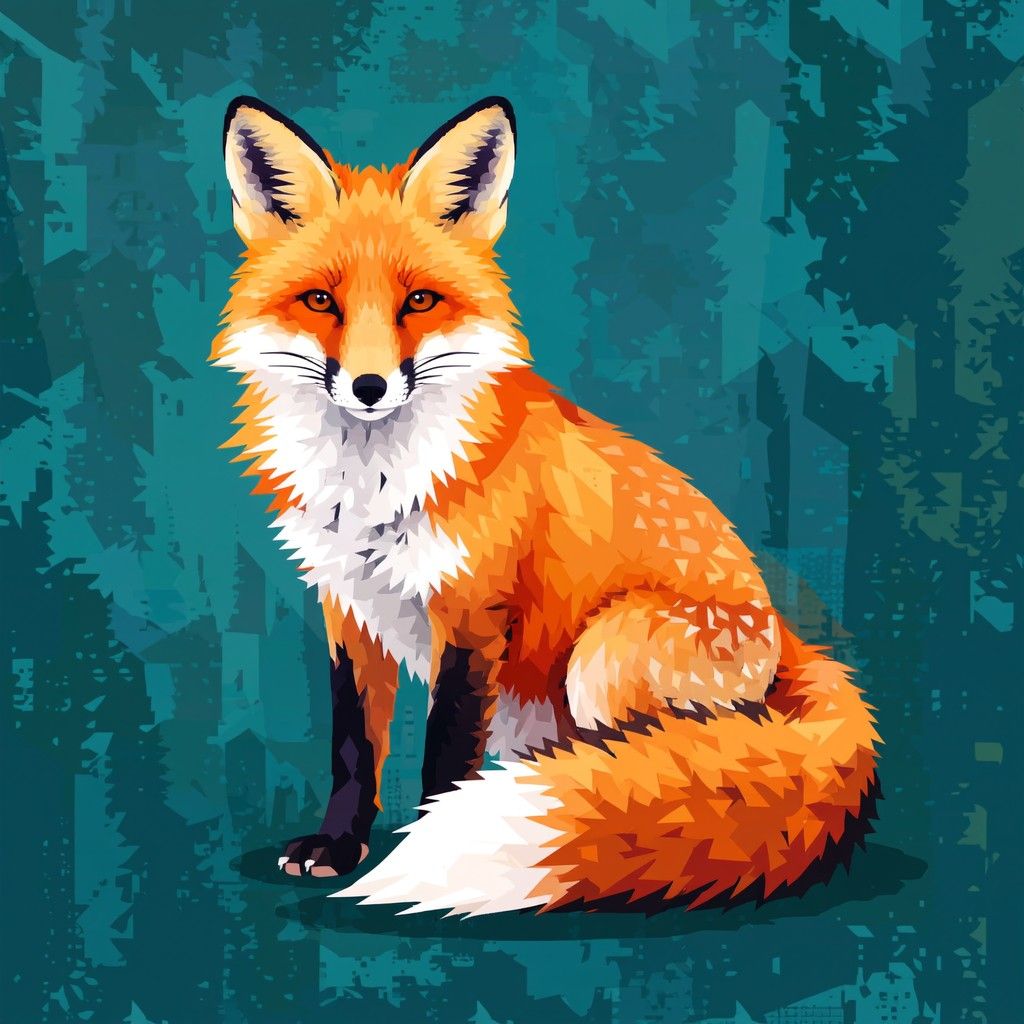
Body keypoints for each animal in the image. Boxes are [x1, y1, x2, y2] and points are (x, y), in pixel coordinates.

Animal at [211, 95, 880, 916]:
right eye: (320, 301)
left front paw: (430, 841)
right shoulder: (351, 610)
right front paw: (338, 846)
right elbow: (352, 747)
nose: (369, 387)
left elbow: (445, 756)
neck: (375, 488)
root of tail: (790, 636)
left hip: (603, 655)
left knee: (656, 762)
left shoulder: (472, 612)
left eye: (419, 301)